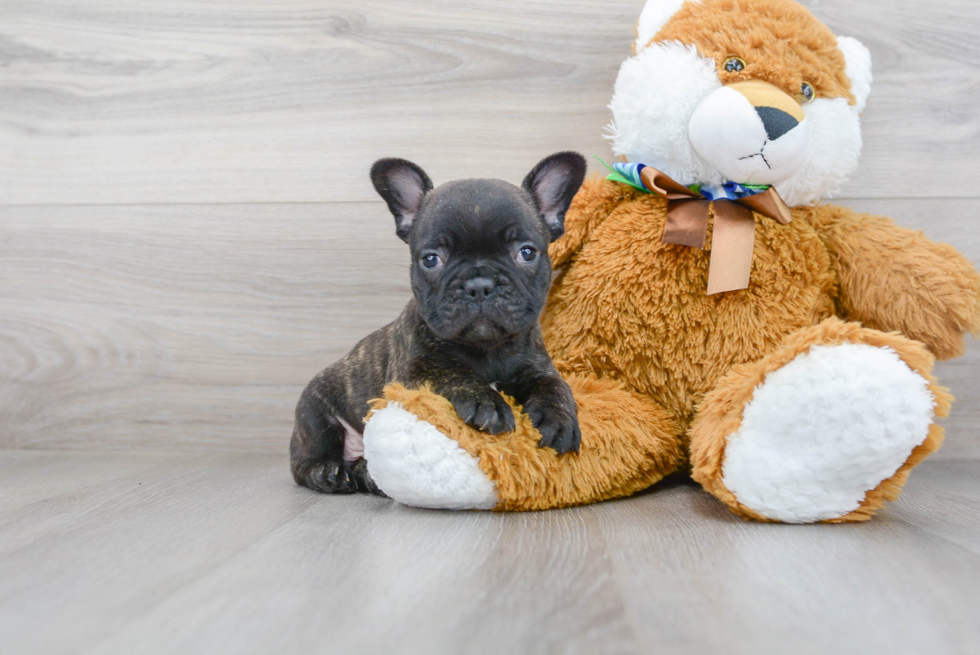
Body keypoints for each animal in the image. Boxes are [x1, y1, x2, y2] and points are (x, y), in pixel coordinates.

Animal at [288, 152, 584, 492]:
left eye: (526, 252)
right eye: (431, 259)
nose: (479, 284)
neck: (486, 348)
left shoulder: (538, 367)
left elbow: (556, 386)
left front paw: (559, 419)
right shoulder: (410, 374)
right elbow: (451, 372)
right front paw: (485, 401)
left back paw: (366, 474)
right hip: (314, 412)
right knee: (304, 462)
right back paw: (329, 471)